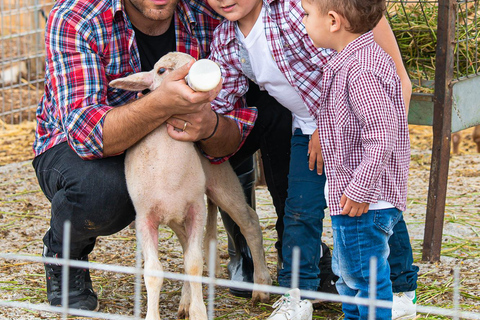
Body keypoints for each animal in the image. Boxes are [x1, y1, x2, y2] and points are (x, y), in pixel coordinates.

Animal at [110, 52, 272, 320]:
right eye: (161, 70)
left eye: (195, 61)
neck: (167, 173)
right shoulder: (144, 217)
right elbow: (154, 271)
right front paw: (156, 314)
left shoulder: (196, 209)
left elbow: (194, 264)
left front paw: (199, 313)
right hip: (176, 216)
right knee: (187, 245)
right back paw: (185, 301)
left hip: (221, 181)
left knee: (249, 223)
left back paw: (261, 287)